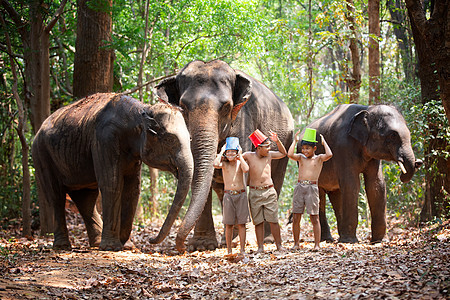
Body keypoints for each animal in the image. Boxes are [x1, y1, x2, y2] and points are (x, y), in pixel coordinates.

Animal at [31, 93, 193, 251]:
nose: (150, 239)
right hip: (41, 155)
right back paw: (63, 246)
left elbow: (132, 188)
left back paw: (96, 243)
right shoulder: (104, 140)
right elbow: (112, 183)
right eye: (170, 140)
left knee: (85, 199)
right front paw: (112, 247)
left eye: (190, 139)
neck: (141, 110)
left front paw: (127, 246)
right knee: (56, 196)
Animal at [156, 59, 296, 252]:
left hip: (286, 139)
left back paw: (266, 240)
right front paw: (201, 245)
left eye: (226, 107)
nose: (182, 247)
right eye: (183, 107)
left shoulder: (244, 120)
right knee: (223, 189)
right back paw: (229, 239)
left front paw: (246, 241)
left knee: (275, 179)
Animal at [300, 103, 424, 244]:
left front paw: (380, 241)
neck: (367, 108)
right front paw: (350, 241)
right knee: (320, 197)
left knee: (336, 195)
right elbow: (351, 184)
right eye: (393, 135)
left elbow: (376, 185)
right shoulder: (342, 147)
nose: (419, 162)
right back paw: (327, 239)